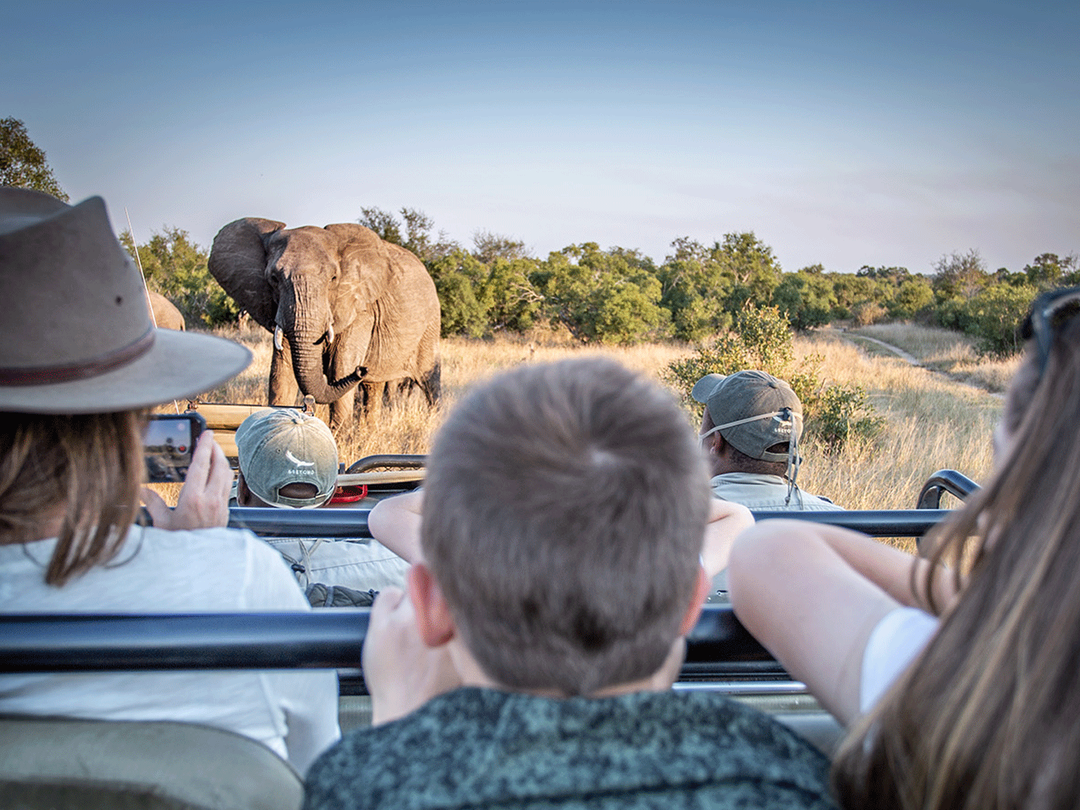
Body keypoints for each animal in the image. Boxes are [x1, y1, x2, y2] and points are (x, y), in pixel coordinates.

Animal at [208, 217, 441, 440]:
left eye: (333, 278)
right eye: (273, 278)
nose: (361, 368)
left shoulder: (360, 310)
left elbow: (340, 369)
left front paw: (339, 441)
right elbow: (280, 373)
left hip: (430, 324)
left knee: (429, 379)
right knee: (372, 387)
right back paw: (371, 431)